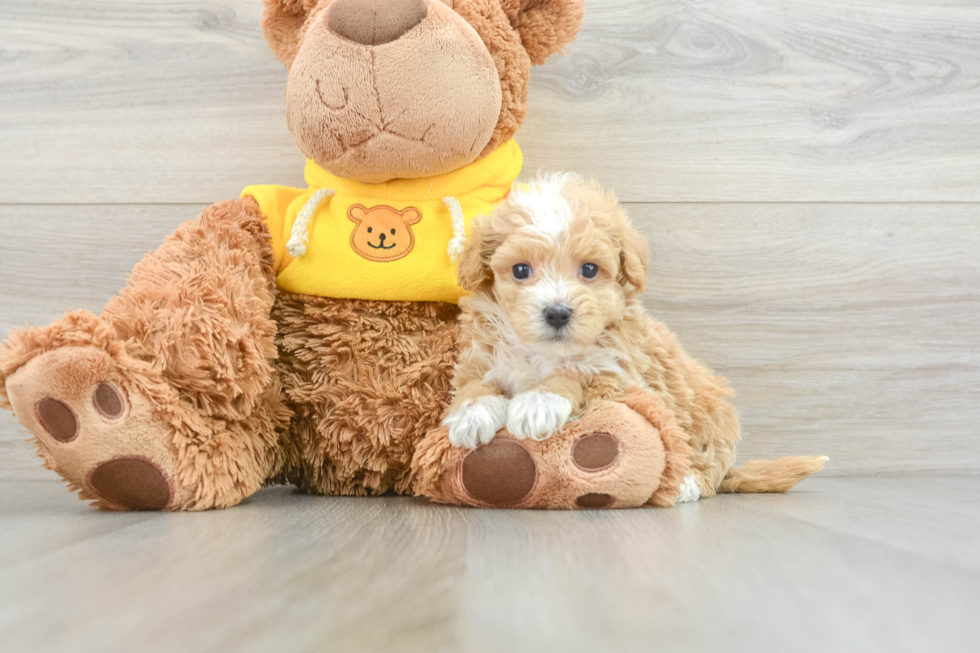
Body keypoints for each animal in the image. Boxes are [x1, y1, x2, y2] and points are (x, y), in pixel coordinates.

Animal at [440, 173, 740, 500]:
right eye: (520, 270)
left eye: (589, 269)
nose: (557, 313)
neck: (545, 353)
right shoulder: (479, 357)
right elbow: (474, 384)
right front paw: (471, 414)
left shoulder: (620, 372)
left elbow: (577, 372)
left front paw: (539, 402)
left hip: (711, 422)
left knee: (711, 462)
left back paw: (686, 483)